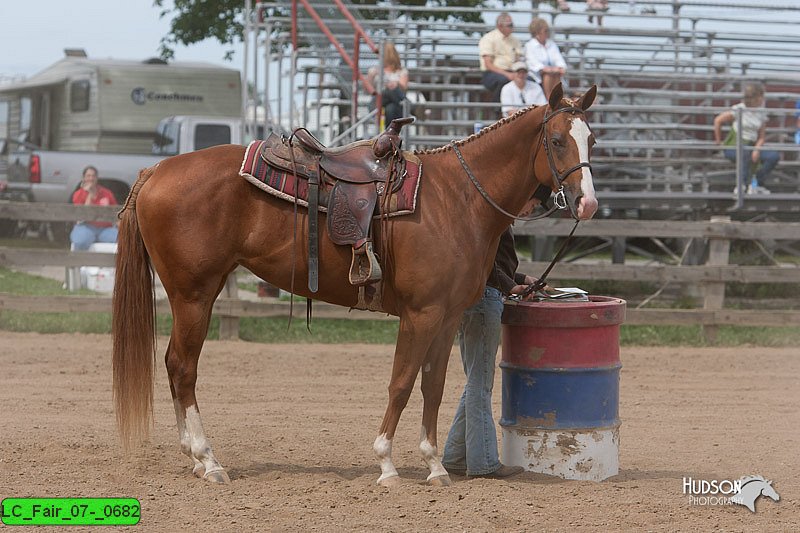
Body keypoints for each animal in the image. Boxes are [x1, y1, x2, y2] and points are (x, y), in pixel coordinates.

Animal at [112, 83, 600, 486]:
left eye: (592, 139)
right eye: (557, 140)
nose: (588, 203)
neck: (457, 198)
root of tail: (156, 171)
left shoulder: (446, 318)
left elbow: (433, 386)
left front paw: (434, 466)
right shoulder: (420, 315)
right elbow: (401, 382)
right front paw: (386, 464)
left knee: (174, 366)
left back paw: (195, 458)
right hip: (193, 296)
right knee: (183, 368)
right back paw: (208, 459)